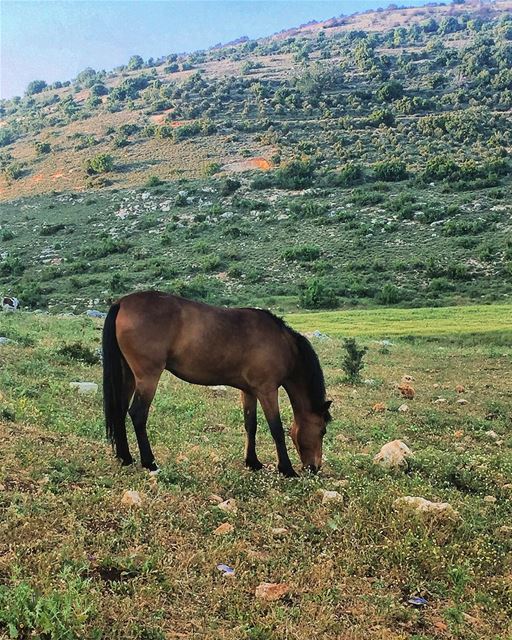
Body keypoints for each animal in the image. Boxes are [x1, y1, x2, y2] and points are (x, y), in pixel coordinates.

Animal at [103, 290, 332, 476]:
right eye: (322, 430)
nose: (315, 468)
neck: (282, 343)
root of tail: (122, 302)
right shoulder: (267, 390)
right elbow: (276, 428)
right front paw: (286, 469)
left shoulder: (249, 391)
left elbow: (251, 425)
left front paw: (253, 462)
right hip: (148, 377)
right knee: (138, 414)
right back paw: (149, 463)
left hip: (129, 375)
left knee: (120, 411)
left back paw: (125, 458)